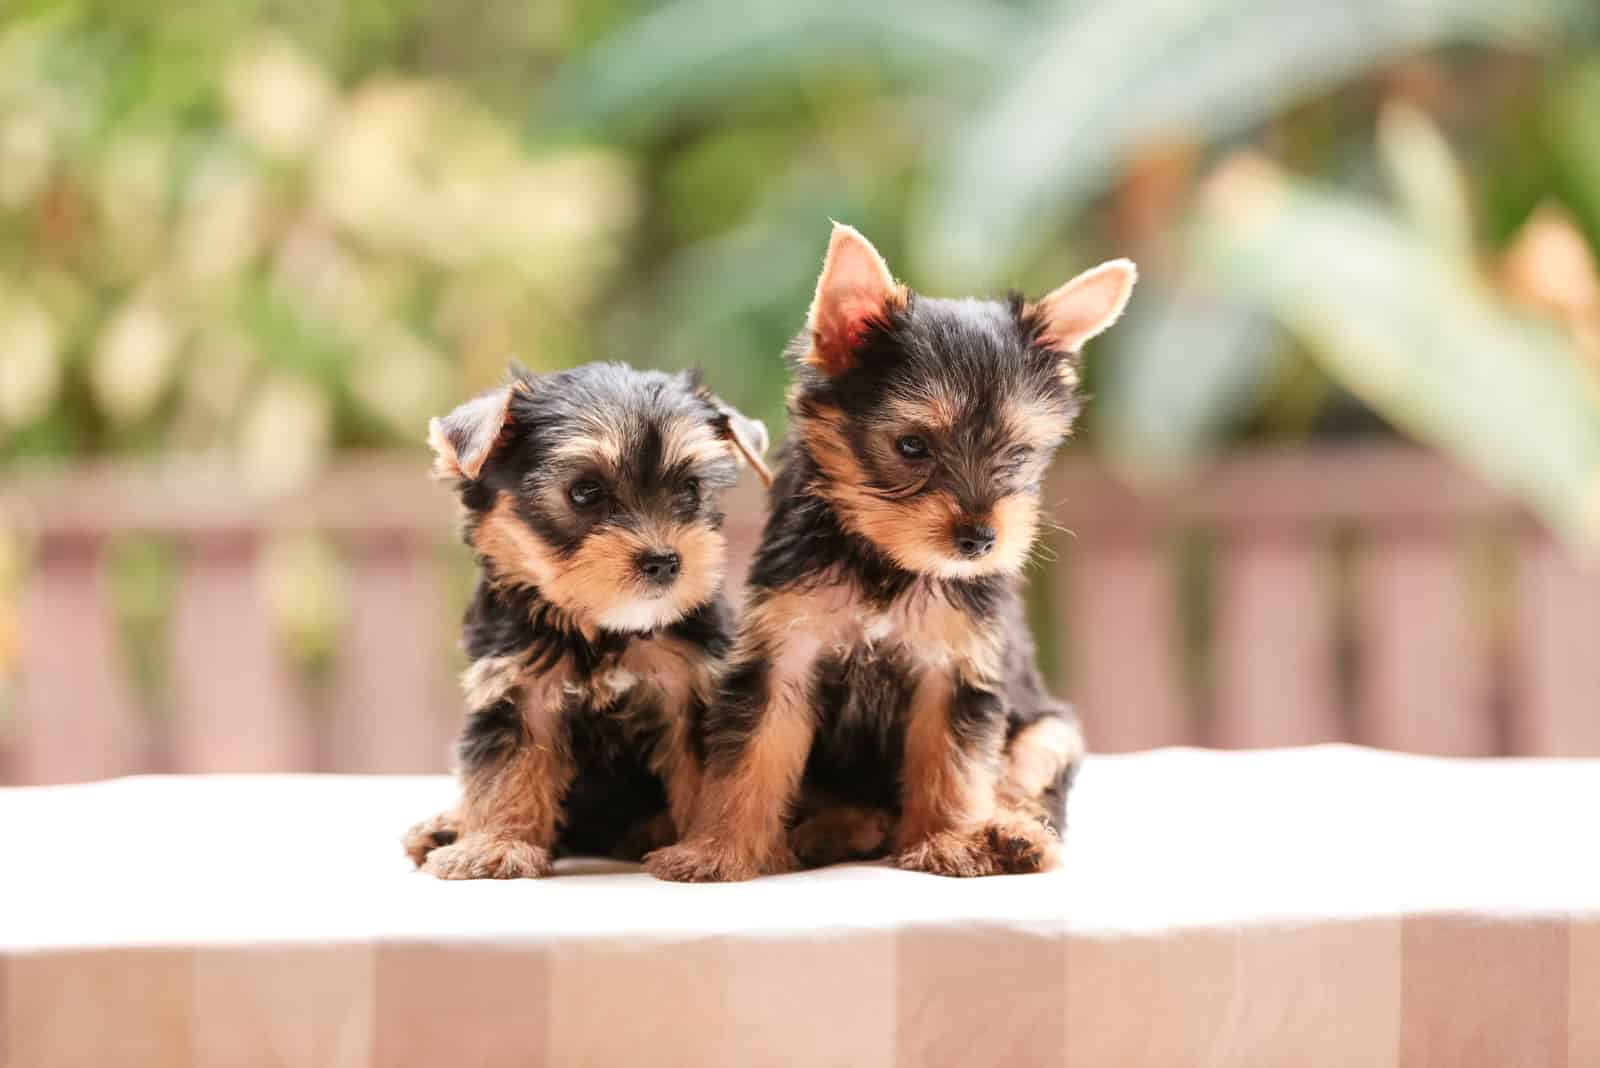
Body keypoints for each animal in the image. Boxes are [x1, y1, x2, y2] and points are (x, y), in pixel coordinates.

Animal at [406, 358, 768, 876]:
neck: (599, 627)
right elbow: (507, 769)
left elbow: (706, 775)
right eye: (584, 492)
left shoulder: (690, 683)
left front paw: (705, 847)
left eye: (690, 489)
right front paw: (496, 844)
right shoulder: (515, 687)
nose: (664, 561)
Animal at [643, 220, 1132, 882]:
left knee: (1025, 774)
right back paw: (840, 827)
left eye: (1019, 454)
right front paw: (718, 849)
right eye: (912, 446)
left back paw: (1013, 834)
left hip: (1050, 728)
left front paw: (951, 840)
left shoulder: (957, 664)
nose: (979, 539)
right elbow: (752, 754)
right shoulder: (786, 650)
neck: (885, 559)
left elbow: (952, 761)